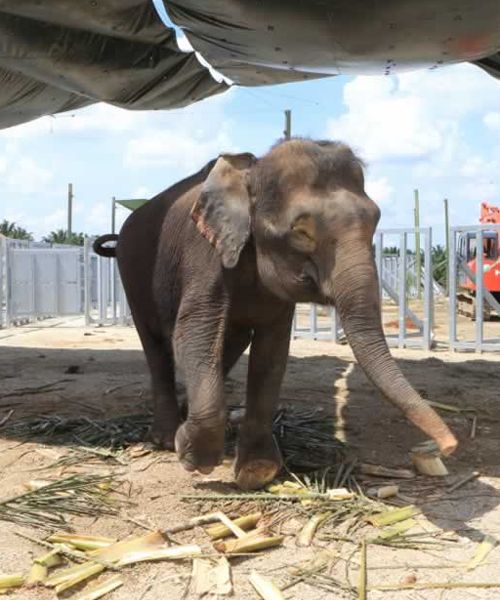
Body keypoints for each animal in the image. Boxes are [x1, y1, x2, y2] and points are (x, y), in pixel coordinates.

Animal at [94, 138, 458, 490]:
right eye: (302, 232)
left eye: (375, 222)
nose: (447, 446)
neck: (252, 173)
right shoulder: (205, 255)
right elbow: (194, 334)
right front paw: (194, 457)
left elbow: (272, 352)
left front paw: (257, 472)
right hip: (132, 272)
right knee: (156, 345)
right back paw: (167, 437)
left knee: (229, 342)